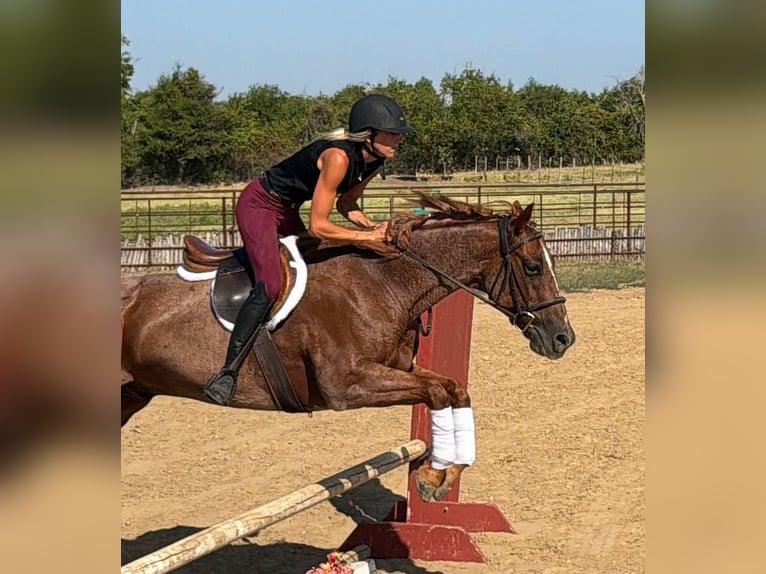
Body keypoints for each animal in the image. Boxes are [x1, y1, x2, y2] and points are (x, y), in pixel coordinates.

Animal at [121, 194, 575, 502]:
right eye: (533, 266)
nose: (562, 339)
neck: (384, 281)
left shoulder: (398, 370)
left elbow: (453, 389)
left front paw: (443, 474)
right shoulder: (347, 386)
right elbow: (436, 392)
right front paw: (434, 474)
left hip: (132, 396)